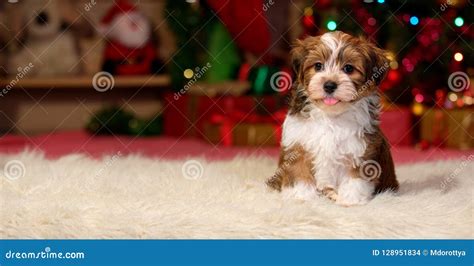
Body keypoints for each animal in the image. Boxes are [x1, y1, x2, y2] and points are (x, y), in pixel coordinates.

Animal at [268, 31, 398, 206]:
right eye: (318, 66)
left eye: (348, 68)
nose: (329, 85)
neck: (330, 115)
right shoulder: (297, 143)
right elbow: (299, 170)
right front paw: (301, 196)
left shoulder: (361, 147)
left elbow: (355, 176)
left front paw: (351, 199)